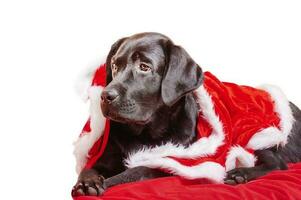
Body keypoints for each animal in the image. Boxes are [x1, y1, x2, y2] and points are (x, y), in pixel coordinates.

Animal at [71, 32, 300, 196]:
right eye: (115, 65)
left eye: (144, 67)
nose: (105, 95)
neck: (144, 133)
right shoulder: (105, 158)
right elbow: (88, 169)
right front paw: (87, 183)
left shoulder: (173, 163)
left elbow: (138, 170)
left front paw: (111, 182)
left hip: (257, 134)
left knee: (277, 164)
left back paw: (240, 174)